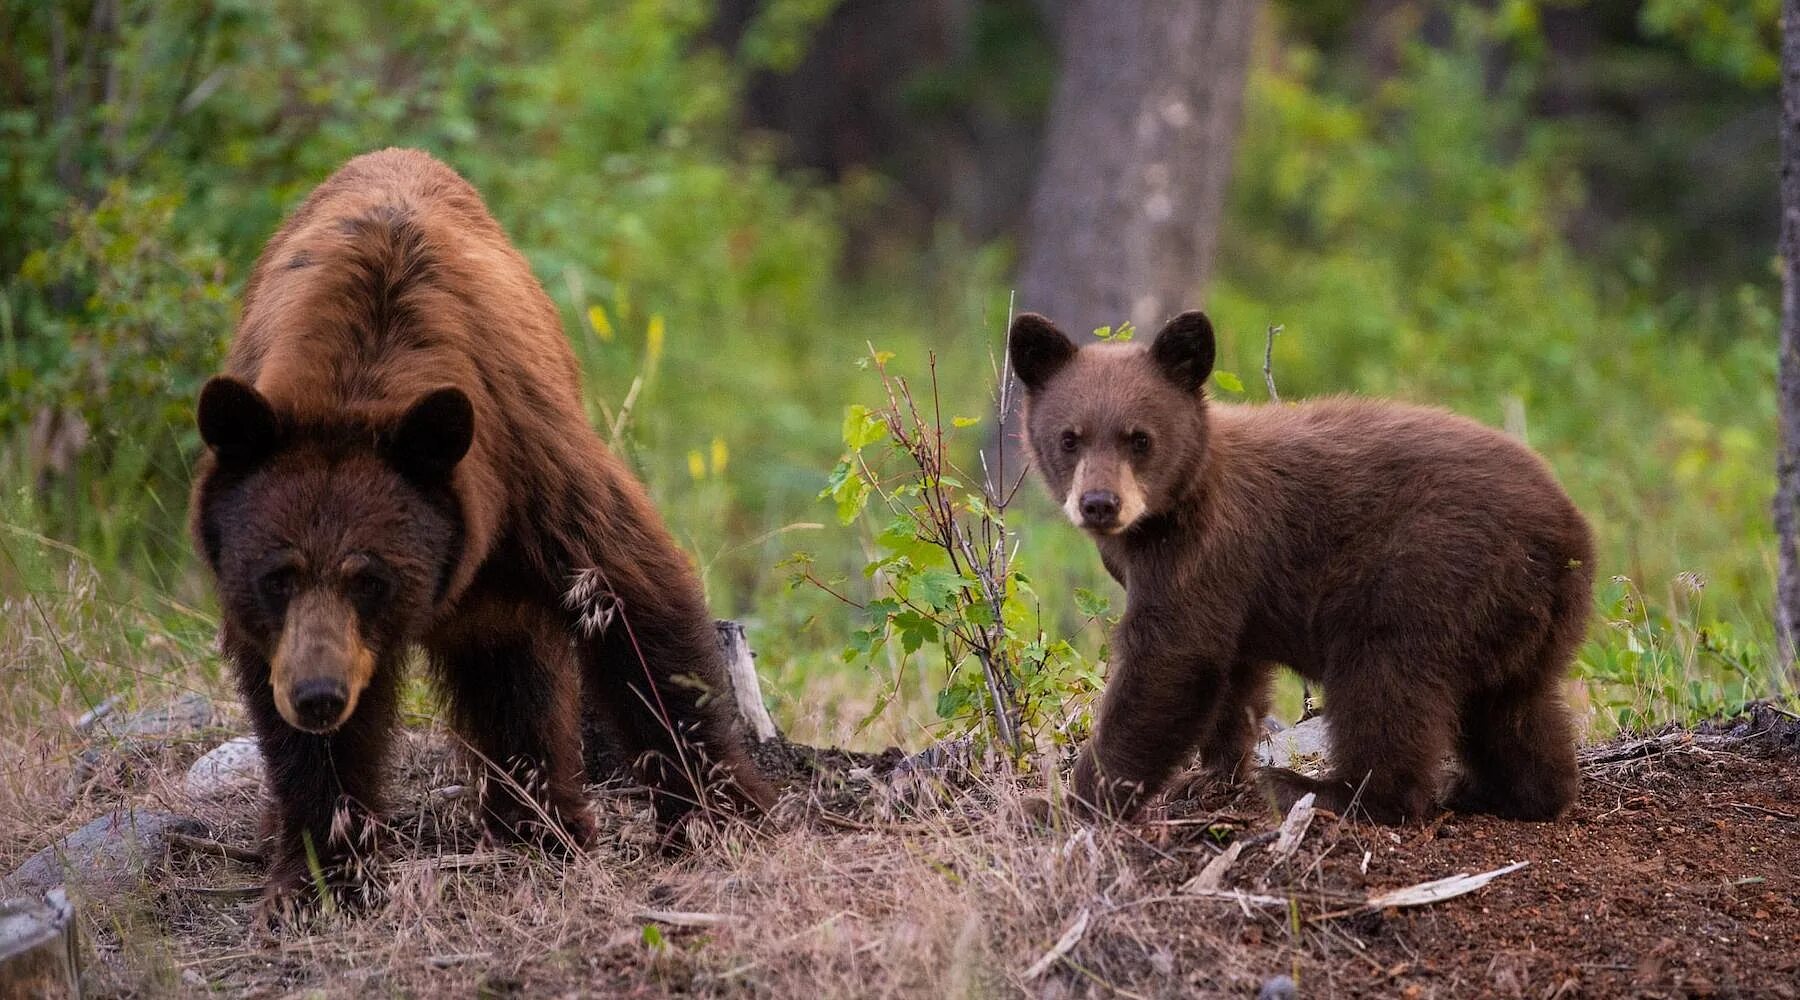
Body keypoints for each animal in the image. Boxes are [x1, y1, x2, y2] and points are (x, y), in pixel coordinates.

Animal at [193, 148, 777, 906]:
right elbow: (302, 740)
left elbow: (634, 601)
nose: (318, 696)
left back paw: (542, 825)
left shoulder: (530, 465)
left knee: (514, 678)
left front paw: (719, 814)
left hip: (500, 584)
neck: (359, 378)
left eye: (370, 578)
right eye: (277, 577)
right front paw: (322, 873)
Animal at [1015, 312, 1591, 827]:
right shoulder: (1230, 586)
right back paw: (1506, 792)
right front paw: (1211, 775)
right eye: (1069, 437)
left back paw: (1326, 790)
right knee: (1513, 708)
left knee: (1385, 684)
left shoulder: (1203, 551)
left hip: (1427, 576)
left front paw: (1068, 805)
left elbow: (1170, 663)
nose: (1099, 503)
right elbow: (1232, 674)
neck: (1170, 509)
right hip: (1519, 619)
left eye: (1139, 438)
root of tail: (1567, 536)